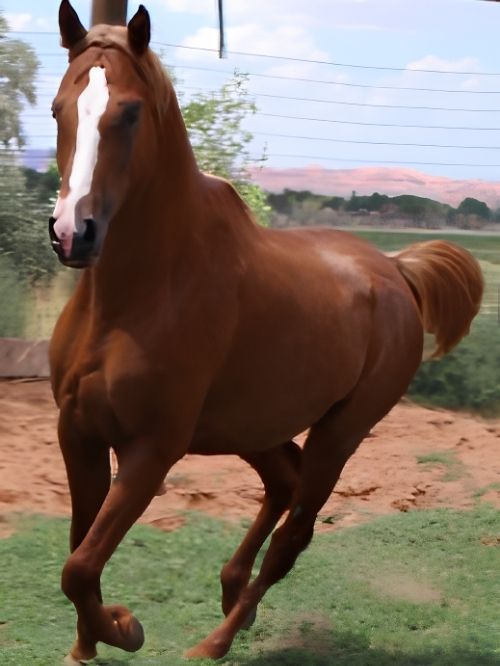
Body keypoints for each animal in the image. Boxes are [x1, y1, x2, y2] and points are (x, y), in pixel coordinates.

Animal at [49, 1, 483, 662]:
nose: (74, 234)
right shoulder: (78, 432)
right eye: (58, 109)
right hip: (252, 425)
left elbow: (79, 564)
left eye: (129, 111)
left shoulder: (152, 449)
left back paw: (217, 639)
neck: (135, 298)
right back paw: (233, 593)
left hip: (340, 433)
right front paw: (89, 642)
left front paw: (123, 629)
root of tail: (396, 270)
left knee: (293, 536)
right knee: (283, 481)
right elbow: (79, 554)